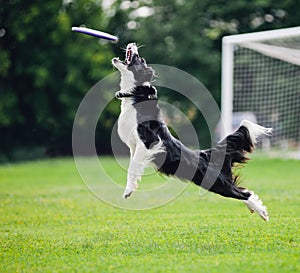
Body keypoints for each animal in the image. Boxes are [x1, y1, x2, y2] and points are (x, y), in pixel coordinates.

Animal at [112, 43, 272, 221]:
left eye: (140, 59)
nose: (132, 44)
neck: (136, 96)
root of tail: (206, 154)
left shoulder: (148, 143)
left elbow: (132, 169)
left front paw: (128, 191)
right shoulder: (135, 148)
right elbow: (134, 166)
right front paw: (131, 188)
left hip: (215, 182)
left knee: (243, 193)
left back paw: (262, 212)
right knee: (242, 191)